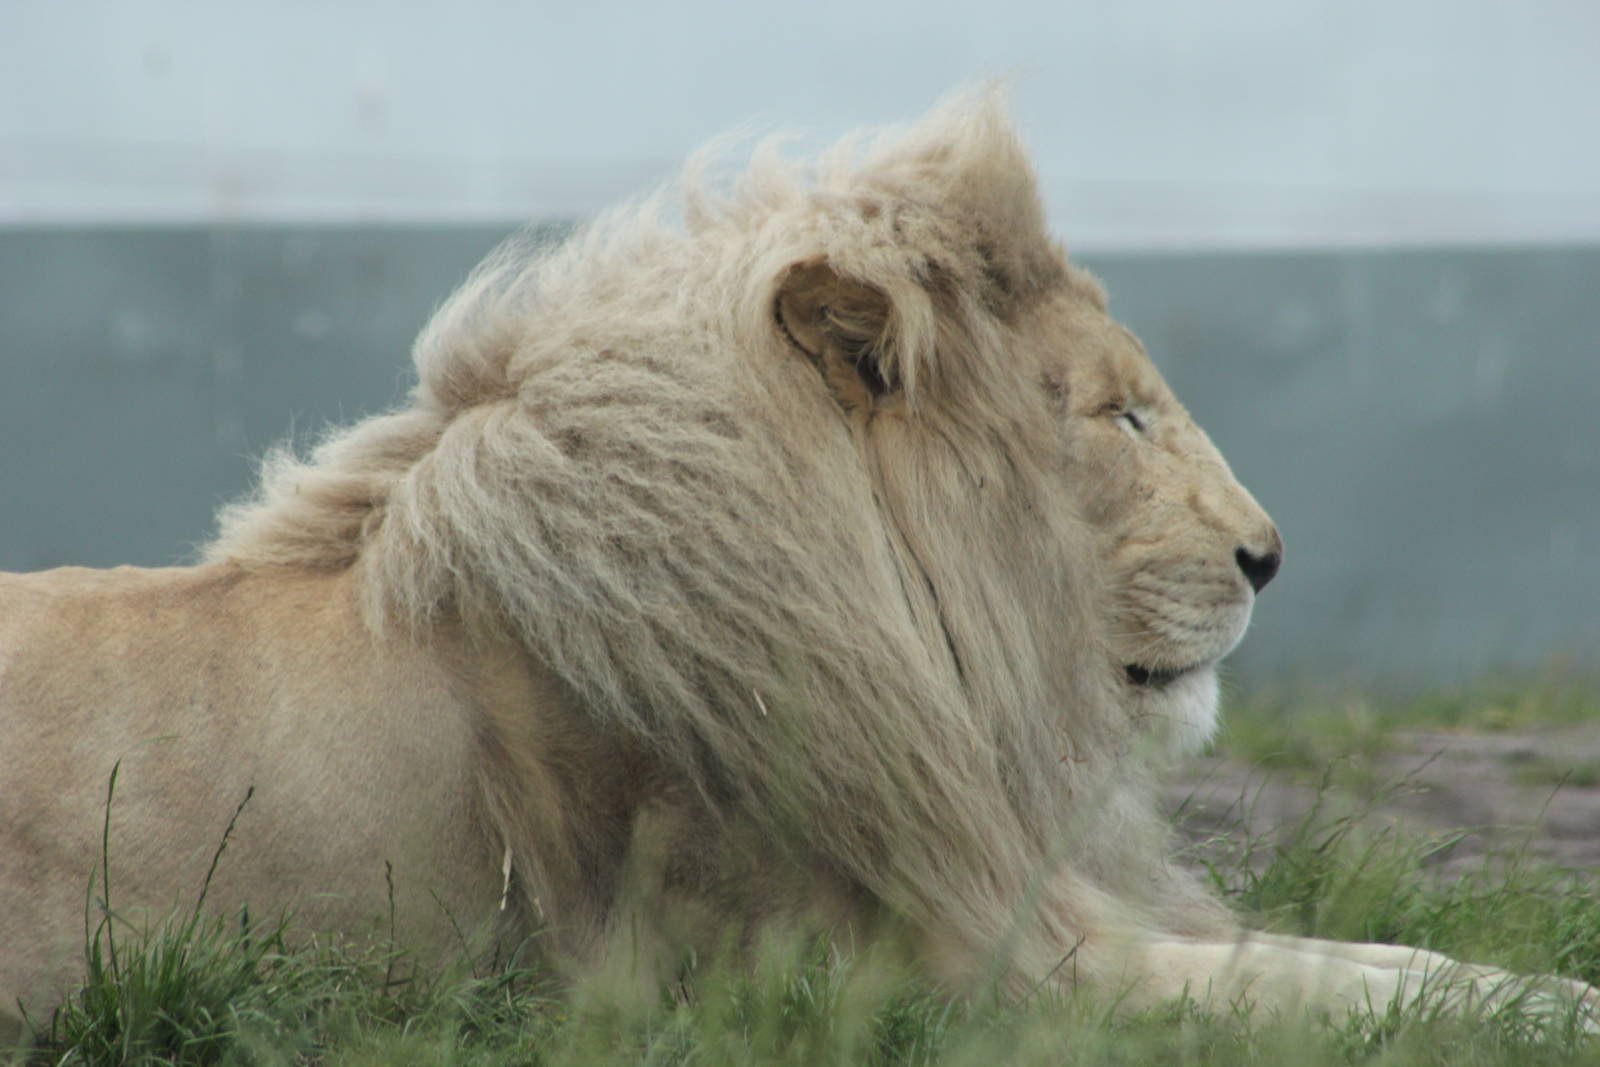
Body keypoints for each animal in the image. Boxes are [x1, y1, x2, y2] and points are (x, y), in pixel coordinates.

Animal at [1, 90, 1592, 1043]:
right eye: (1121, 415)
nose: (1269, 557)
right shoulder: (945, 973)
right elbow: (1289, 986)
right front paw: (1547, 1007)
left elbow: (1373, 961)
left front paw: (1531, 983)